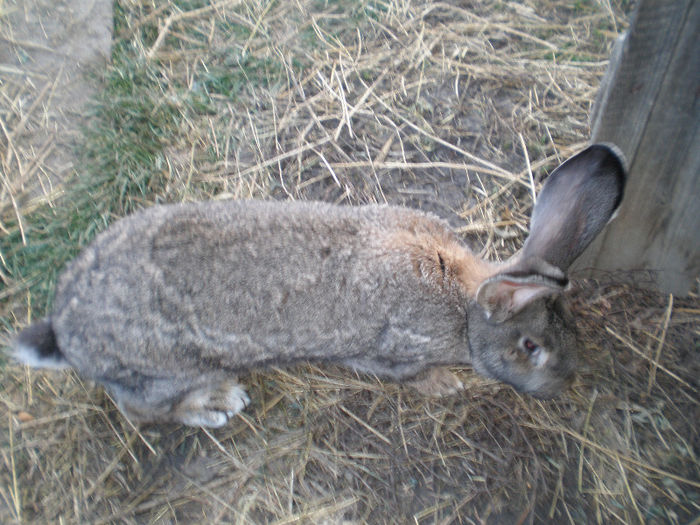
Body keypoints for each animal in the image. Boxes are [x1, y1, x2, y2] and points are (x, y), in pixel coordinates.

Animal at [10, 142, 628, 426]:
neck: (464, 307)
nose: (566, 383)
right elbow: (406, 374)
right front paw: (444, 385)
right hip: (166, 372)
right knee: (145, 413)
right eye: (531, 347)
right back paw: (218, 405)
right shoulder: (386, 351)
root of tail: (66, 333)